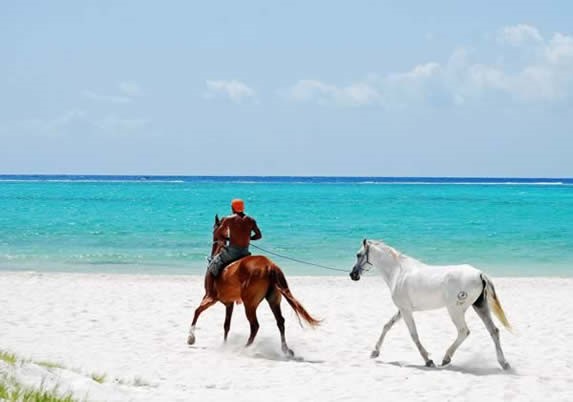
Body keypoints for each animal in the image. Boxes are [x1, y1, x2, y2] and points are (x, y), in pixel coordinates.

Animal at [187, 215, 318, 356]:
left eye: (214, 228)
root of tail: (270, 266)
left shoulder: (210, 297)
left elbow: (197, 311)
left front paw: (191, 338)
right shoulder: (229, 303)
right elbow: (226, 325)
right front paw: (224, 344)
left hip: (249, 304)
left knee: (255, 326)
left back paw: (244, 348)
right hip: (273, 300)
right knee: (280, 322)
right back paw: (285, 349)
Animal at [350, 240, 512, 370]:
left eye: (358, 254)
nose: (353, 275)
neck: (398, 273)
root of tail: (479, 273)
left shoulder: (406, 311)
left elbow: (414, 335)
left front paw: (428, 360)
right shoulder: (402, 310)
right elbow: (387, 326)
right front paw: (374, 352)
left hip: (455, 310)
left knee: (464, 331)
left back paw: (446, 358)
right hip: (480, 306)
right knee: (494, 331)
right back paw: (504, 363)